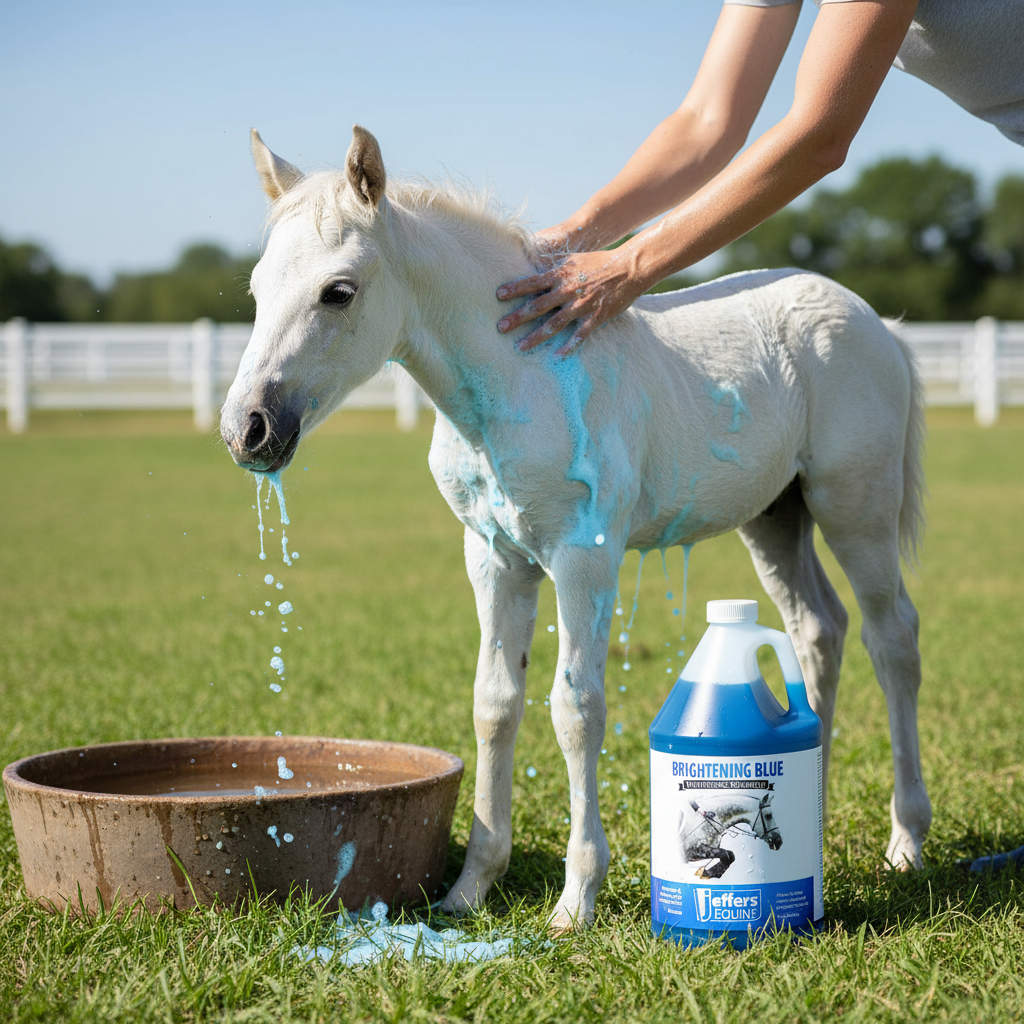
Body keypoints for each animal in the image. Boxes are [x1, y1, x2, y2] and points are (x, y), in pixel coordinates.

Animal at [220, 125, 932, 931]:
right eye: (256, 290)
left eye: (338, 290)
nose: (248, 430)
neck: (516, 382)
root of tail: (877, 323)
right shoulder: (494, 558)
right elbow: (495, 704)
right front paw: (472, 886)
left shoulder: (585, 557)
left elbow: (576, 708)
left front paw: (576, 900)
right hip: (775, 519)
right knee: (818, 629)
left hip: (855, 509)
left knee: (892, 639)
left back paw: (906, 839)